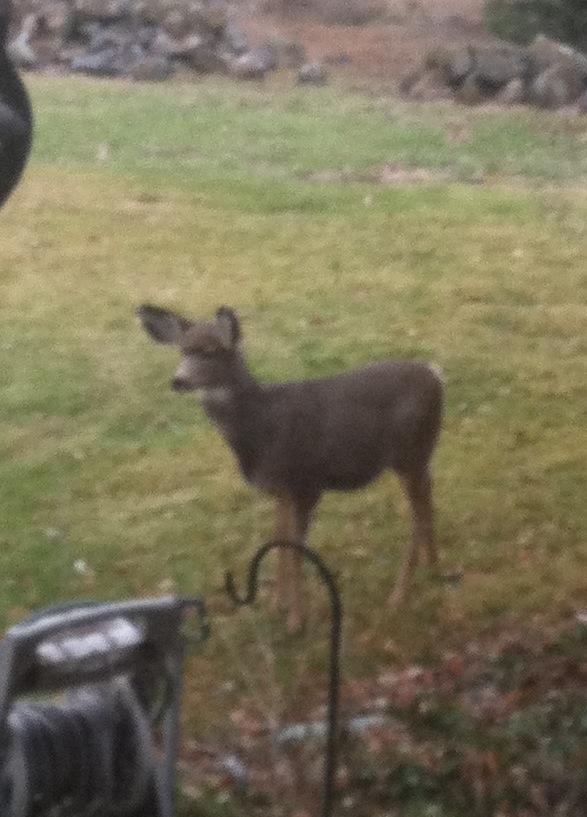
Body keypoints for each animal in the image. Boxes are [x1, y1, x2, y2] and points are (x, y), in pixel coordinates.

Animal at [137, 304, 443, 632]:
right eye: (182, 350)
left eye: (212, 350)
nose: (178, 380)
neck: (262, 427)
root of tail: (436, 375)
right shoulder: (280, 491)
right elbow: (279, 543)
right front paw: (276, 606)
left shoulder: (306, 483)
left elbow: (295, 551)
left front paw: (295, 621)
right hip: (418, 456)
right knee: (428, 496)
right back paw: (433, 565)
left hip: (409, 451)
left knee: (417, 513)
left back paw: (399, 595)